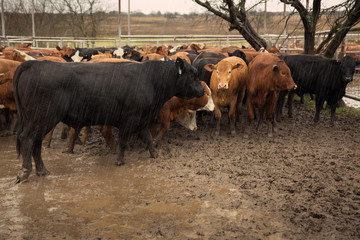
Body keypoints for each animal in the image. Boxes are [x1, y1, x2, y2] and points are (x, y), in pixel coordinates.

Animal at [13, 58, 205, 182]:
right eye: (193, 75)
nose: (202, 90)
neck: (150, 80)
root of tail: (34, 63)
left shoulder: (142, 119)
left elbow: (148, 138)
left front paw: (155, 154)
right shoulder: (130, 117)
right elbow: (123, 140)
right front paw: (120, 160)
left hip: (39, 120)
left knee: (36, 142)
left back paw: (42, 170)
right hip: (43, 118)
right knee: (27, 139)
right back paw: (25, 171)